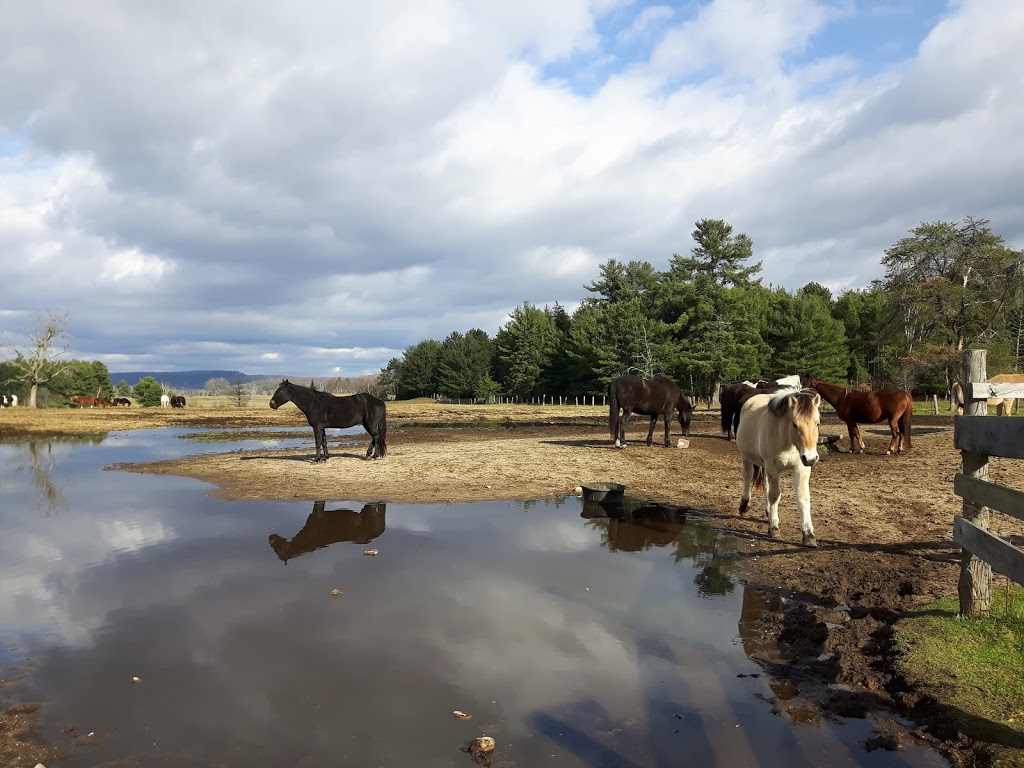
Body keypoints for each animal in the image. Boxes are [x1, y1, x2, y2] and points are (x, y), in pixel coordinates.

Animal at [737, 391, 823, 548]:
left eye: (818, 423)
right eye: (795, 425)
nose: (810, 458)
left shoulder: (801, 468)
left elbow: (803, 498)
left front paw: (808, 534)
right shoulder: (773, 467)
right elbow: (774, 495)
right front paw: (774, 528)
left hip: (765, 465)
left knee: (765, 484)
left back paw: (768, 512)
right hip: (746, 457)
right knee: (748, 476)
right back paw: (745, 506)